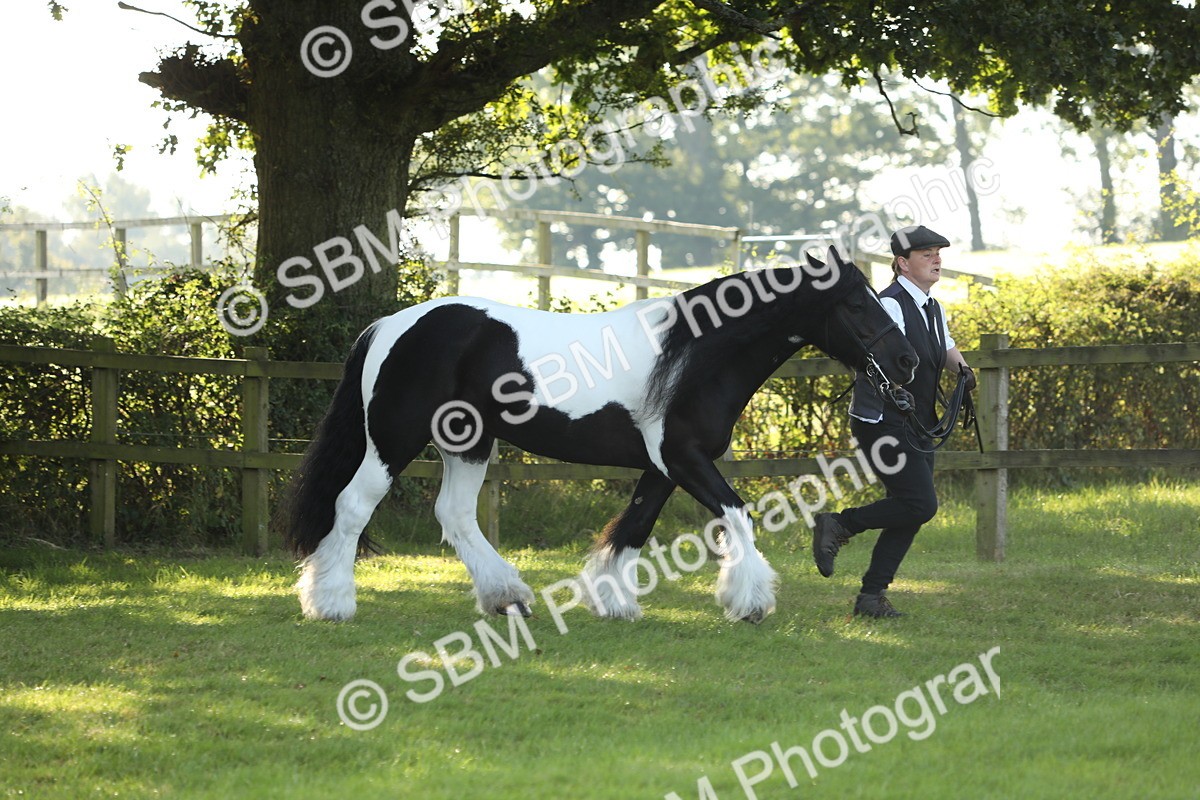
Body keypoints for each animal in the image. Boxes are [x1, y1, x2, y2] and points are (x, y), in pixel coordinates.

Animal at [281, 246, 918, 624]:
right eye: (857, 304)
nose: (908, 362)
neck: (696, 354)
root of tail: (391, 325)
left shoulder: (662, 468)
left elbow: (632, 530)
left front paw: (613, 600)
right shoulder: (684, 459)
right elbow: (737, 514)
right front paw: (750, 600)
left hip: (469, 443)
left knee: (456, 516)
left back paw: (507, 597)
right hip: (394, 439)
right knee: (352, 506)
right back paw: (331, 603)